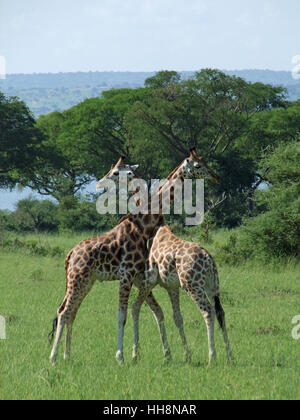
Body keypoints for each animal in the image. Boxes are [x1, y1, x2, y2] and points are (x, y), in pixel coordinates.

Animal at [48, 151, 219, 364]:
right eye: (197, 165)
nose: (215, 176)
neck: (142, 225)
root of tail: (70, 255)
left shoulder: (138, 277)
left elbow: (154, 311)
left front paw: (160, 353)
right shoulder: (127, 274)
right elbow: (123, 315)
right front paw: (121, 356)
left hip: (86, 281)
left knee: (70, 311)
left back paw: (67, 356)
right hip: (77, 278)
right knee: (63, 311)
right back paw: (53, 358)